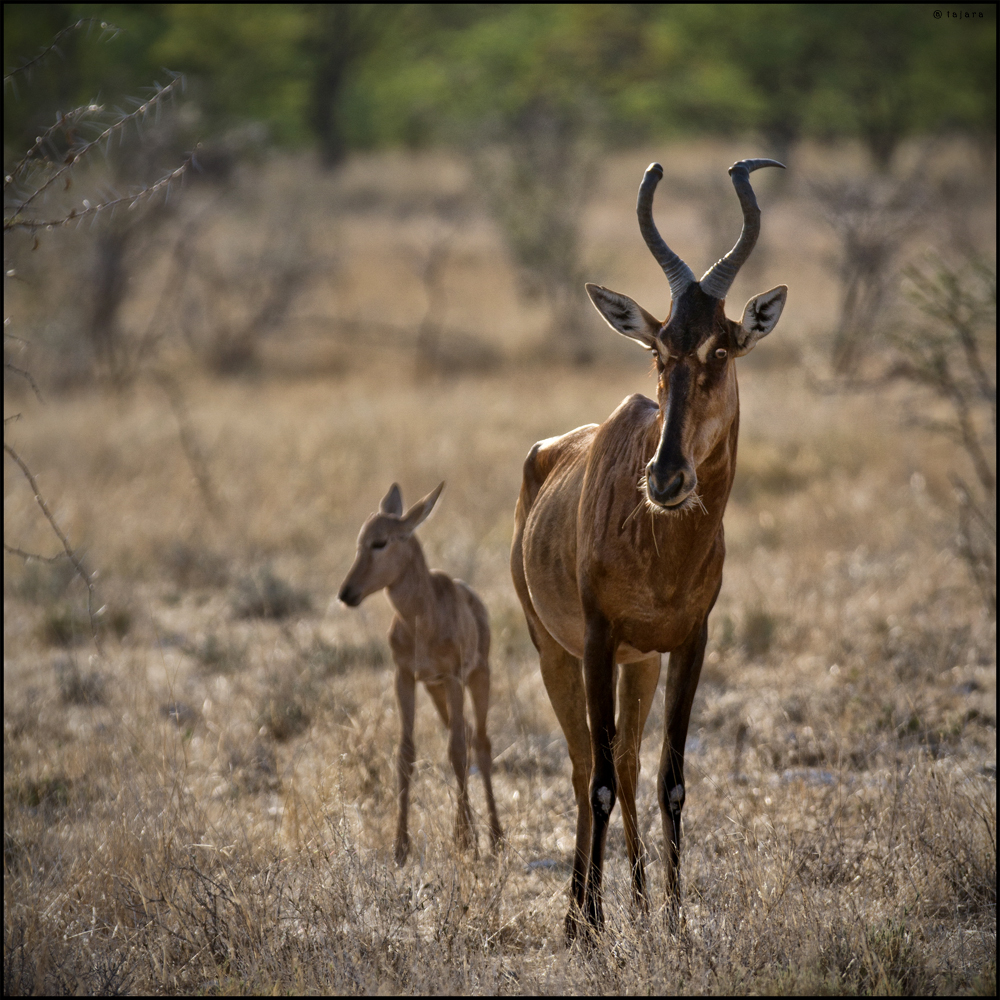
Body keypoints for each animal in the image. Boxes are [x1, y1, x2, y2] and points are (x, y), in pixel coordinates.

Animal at [340, 480, 504, 864]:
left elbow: (457, 752)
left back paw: (495, 837)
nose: (347, 593)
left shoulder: (455, 678)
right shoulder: (406, 678)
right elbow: (406, 753)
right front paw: (400, 846)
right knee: (465, 735)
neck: (421, 616)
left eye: (380, 542)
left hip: (477, 678)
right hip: (436, 690)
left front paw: (467, 842)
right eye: (360, 541)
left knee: (480, 743)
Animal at [512, 160, 784, 932]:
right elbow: (598, 780)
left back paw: (632, 899)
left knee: (630, 760)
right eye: (659, 351)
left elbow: (671, 780)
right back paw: (581, 914)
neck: (663, 548)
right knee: (587, 765)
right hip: (557, 651)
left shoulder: (691, 642)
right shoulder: (598, 640)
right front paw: (593, 928)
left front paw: (674, 919)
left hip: (641, 664)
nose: (665, 478)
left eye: (721, 347)